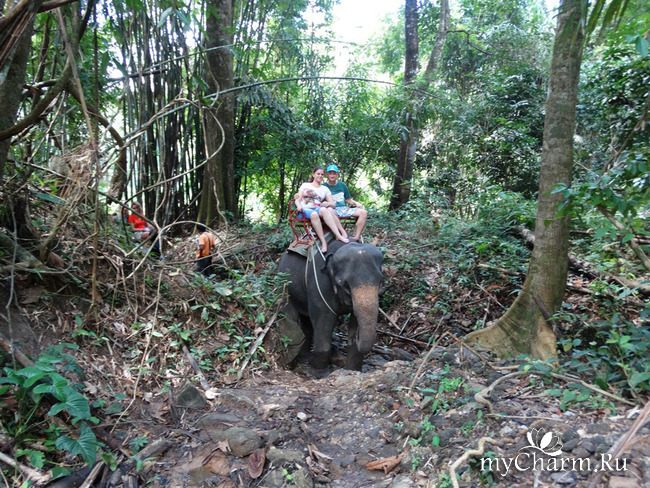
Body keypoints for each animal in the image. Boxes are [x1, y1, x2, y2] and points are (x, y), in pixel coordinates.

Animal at [278, 240, 383, 376]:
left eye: (380, 281)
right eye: (345, 284)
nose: (357, 336)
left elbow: (354, 321)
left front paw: (353, 371)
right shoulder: (319, 284)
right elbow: (325, 321)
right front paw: (320, 375)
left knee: (307, 324)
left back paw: (305, 358)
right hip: (285, 286)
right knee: (291, 317)